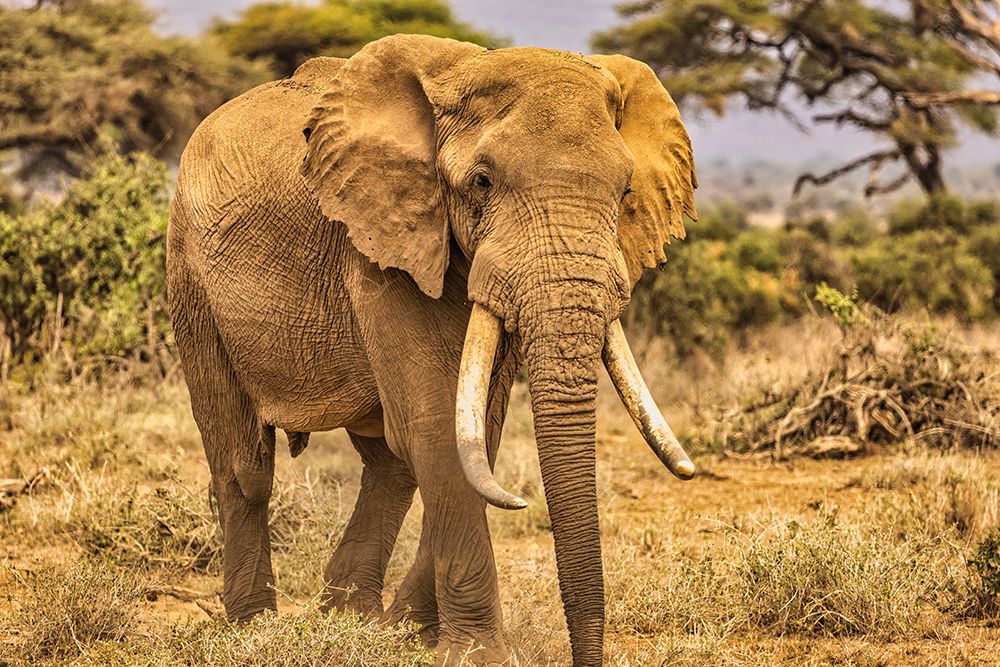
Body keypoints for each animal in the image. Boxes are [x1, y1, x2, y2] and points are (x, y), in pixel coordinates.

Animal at [167, 34, 698, 666]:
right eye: (482, 182)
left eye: (624, 192)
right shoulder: (379, 242)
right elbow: (440, 429)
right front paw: (478, 655)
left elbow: (473, 436)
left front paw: (412, 635)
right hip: (190, 280)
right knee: (244, 464)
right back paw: (255, 628)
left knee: (390, 466)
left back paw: (356, 621)